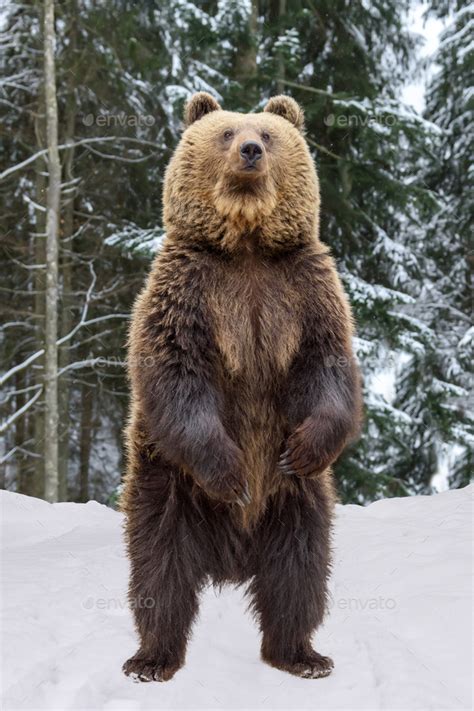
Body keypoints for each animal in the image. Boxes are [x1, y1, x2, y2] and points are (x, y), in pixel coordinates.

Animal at [120, 93, 362, 684]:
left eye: (268, 134)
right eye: (226, 132)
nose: (251, 150)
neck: (247, 243)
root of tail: (231, 558)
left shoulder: (304, 291)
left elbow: (327, 368)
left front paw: (307, 446)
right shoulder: (188, 290)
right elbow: (177, 373)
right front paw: (230, 471)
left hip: (297, 502)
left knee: (299, 571)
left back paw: (301, 654)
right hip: (168, 484)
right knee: (159, 570)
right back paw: (152, 658)